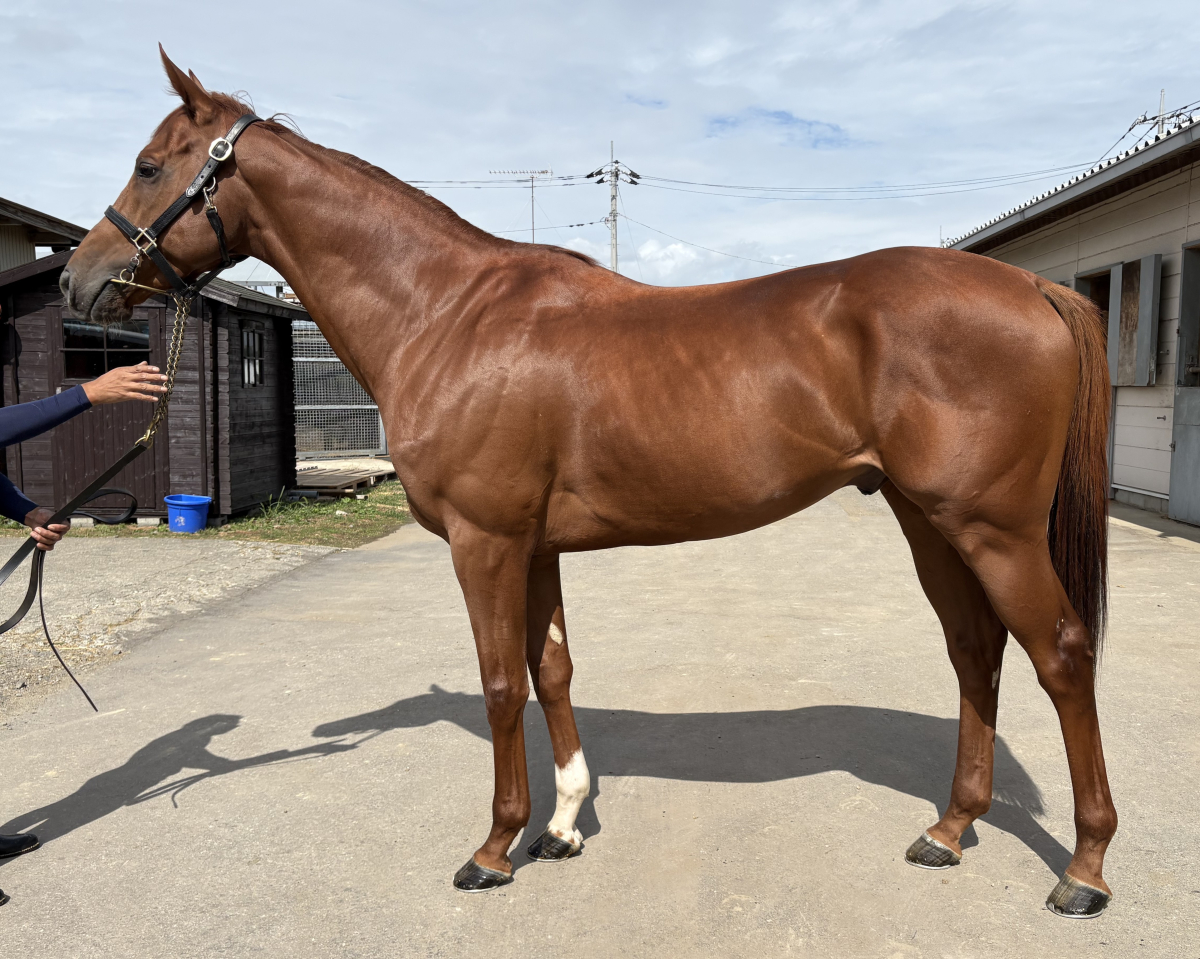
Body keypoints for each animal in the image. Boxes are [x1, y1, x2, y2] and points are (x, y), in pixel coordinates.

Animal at [61, 48, 1117, 918]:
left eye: (150, 166)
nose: (80, 280)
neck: (447, 312)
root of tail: (1031, 287)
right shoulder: (535, 547)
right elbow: (553, 670)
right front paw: (563, 825)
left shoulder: (486, 542)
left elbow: (499, 683)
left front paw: (494, 847)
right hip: (929, 520)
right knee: (976, 653)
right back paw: (950, 829)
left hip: (993, 529)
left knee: (1061, 655)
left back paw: (1084, 869)